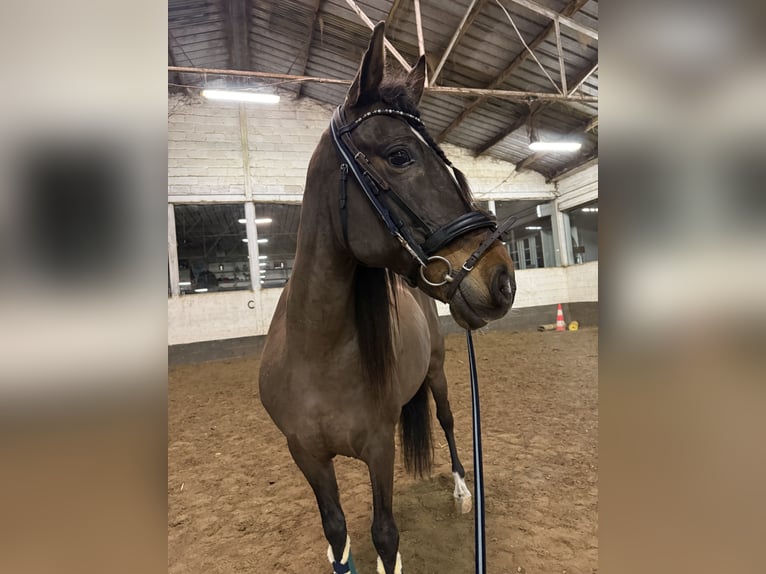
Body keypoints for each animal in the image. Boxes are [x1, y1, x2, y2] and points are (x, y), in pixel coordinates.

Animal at [259, 22, 516, 574]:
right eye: (400, 156)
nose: (503, 279)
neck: (317, 351)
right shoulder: (306, 455)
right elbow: (337, 532)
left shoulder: (379, 448)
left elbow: (385, 533)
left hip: (438, 374)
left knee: (447, 420)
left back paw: (462, 490)